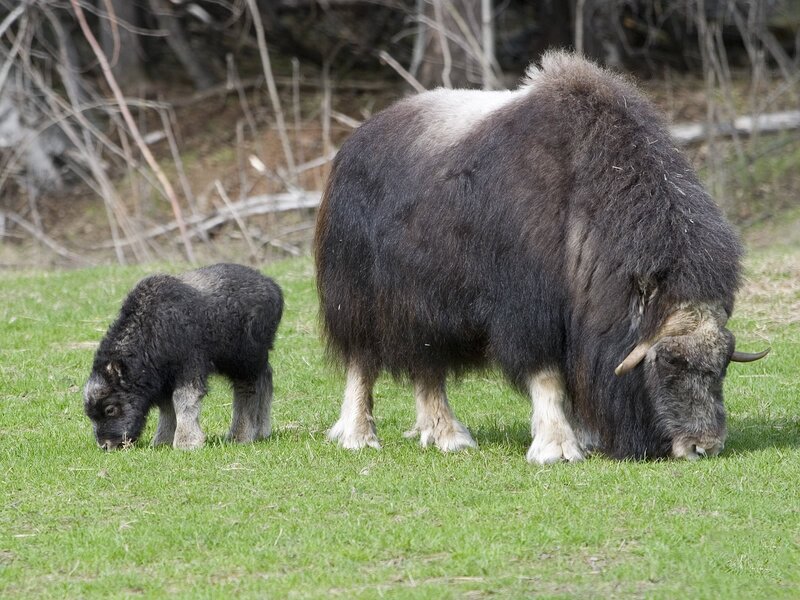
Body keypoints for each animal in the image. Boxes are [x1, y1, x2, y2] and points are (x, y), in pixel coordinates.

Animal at [84, 263, 283, 450]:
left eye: (110, 409)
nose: (106, 445)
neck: (150, 329)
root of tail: (272, 286)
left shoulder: (189, 366)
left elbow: (183, 399)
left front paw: (187, 442)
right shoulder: (163, 379)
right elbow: (166, 406)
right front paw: (161, 441)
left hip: (244, 359)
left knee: (248, 388)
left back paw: (240, 436)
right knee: (265, 377)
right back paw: (262, 431)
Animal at [314, 51, 769, 463]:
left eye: (724, 364)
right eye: (670, 361)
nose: (703, 447)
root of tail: (353, 143)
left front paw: (585, 438)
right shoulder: (529, 311)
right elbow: (548, 376)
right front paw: (558, 448)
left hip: (426, 306)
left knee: (428, 365)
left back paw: (447, 437)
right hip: (357, 295)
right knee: (362, 361)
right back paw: (359, 436)